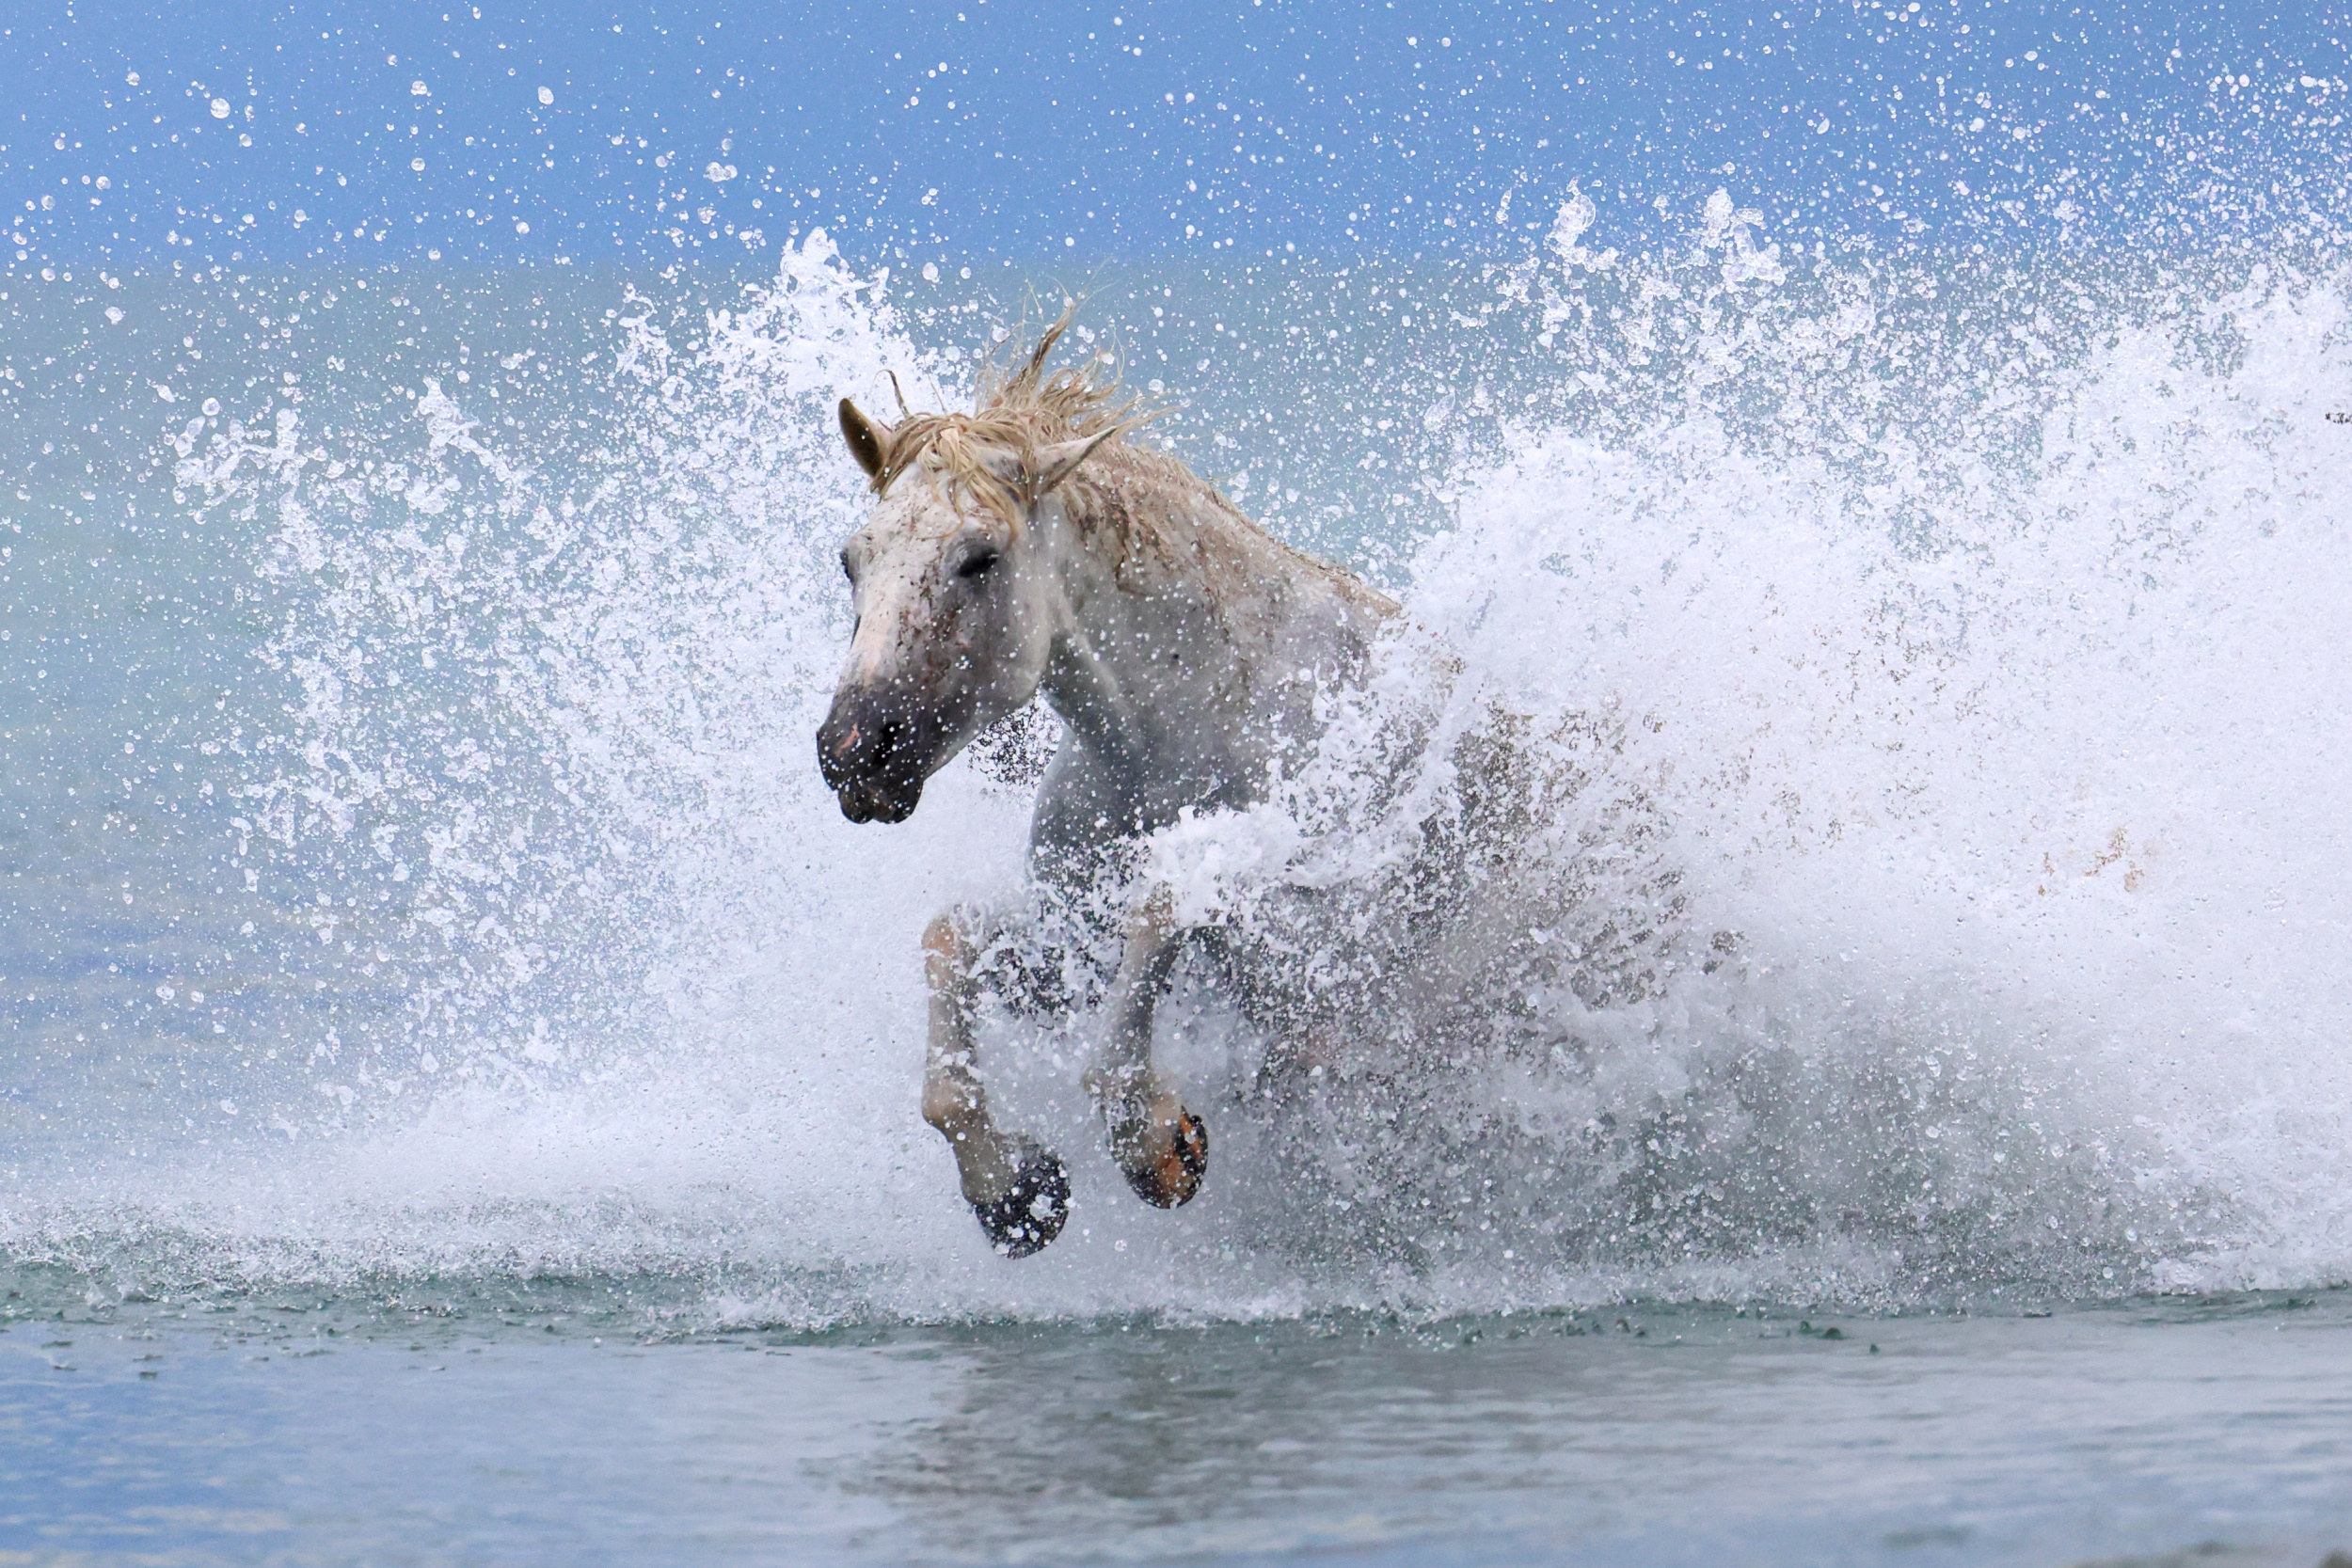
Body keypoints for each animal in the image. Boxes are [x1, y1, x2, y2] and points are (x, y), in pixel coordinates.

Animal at [816, 319, 1397, 1257]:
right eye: (851, 561)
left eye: (980, 557)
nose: (853, 751)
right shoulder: (1068, 945)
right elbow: (949, 942)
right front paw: (1015, 1189)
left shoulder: (1311, 934)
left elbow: (1164, 905)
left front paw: (1154, 1142)